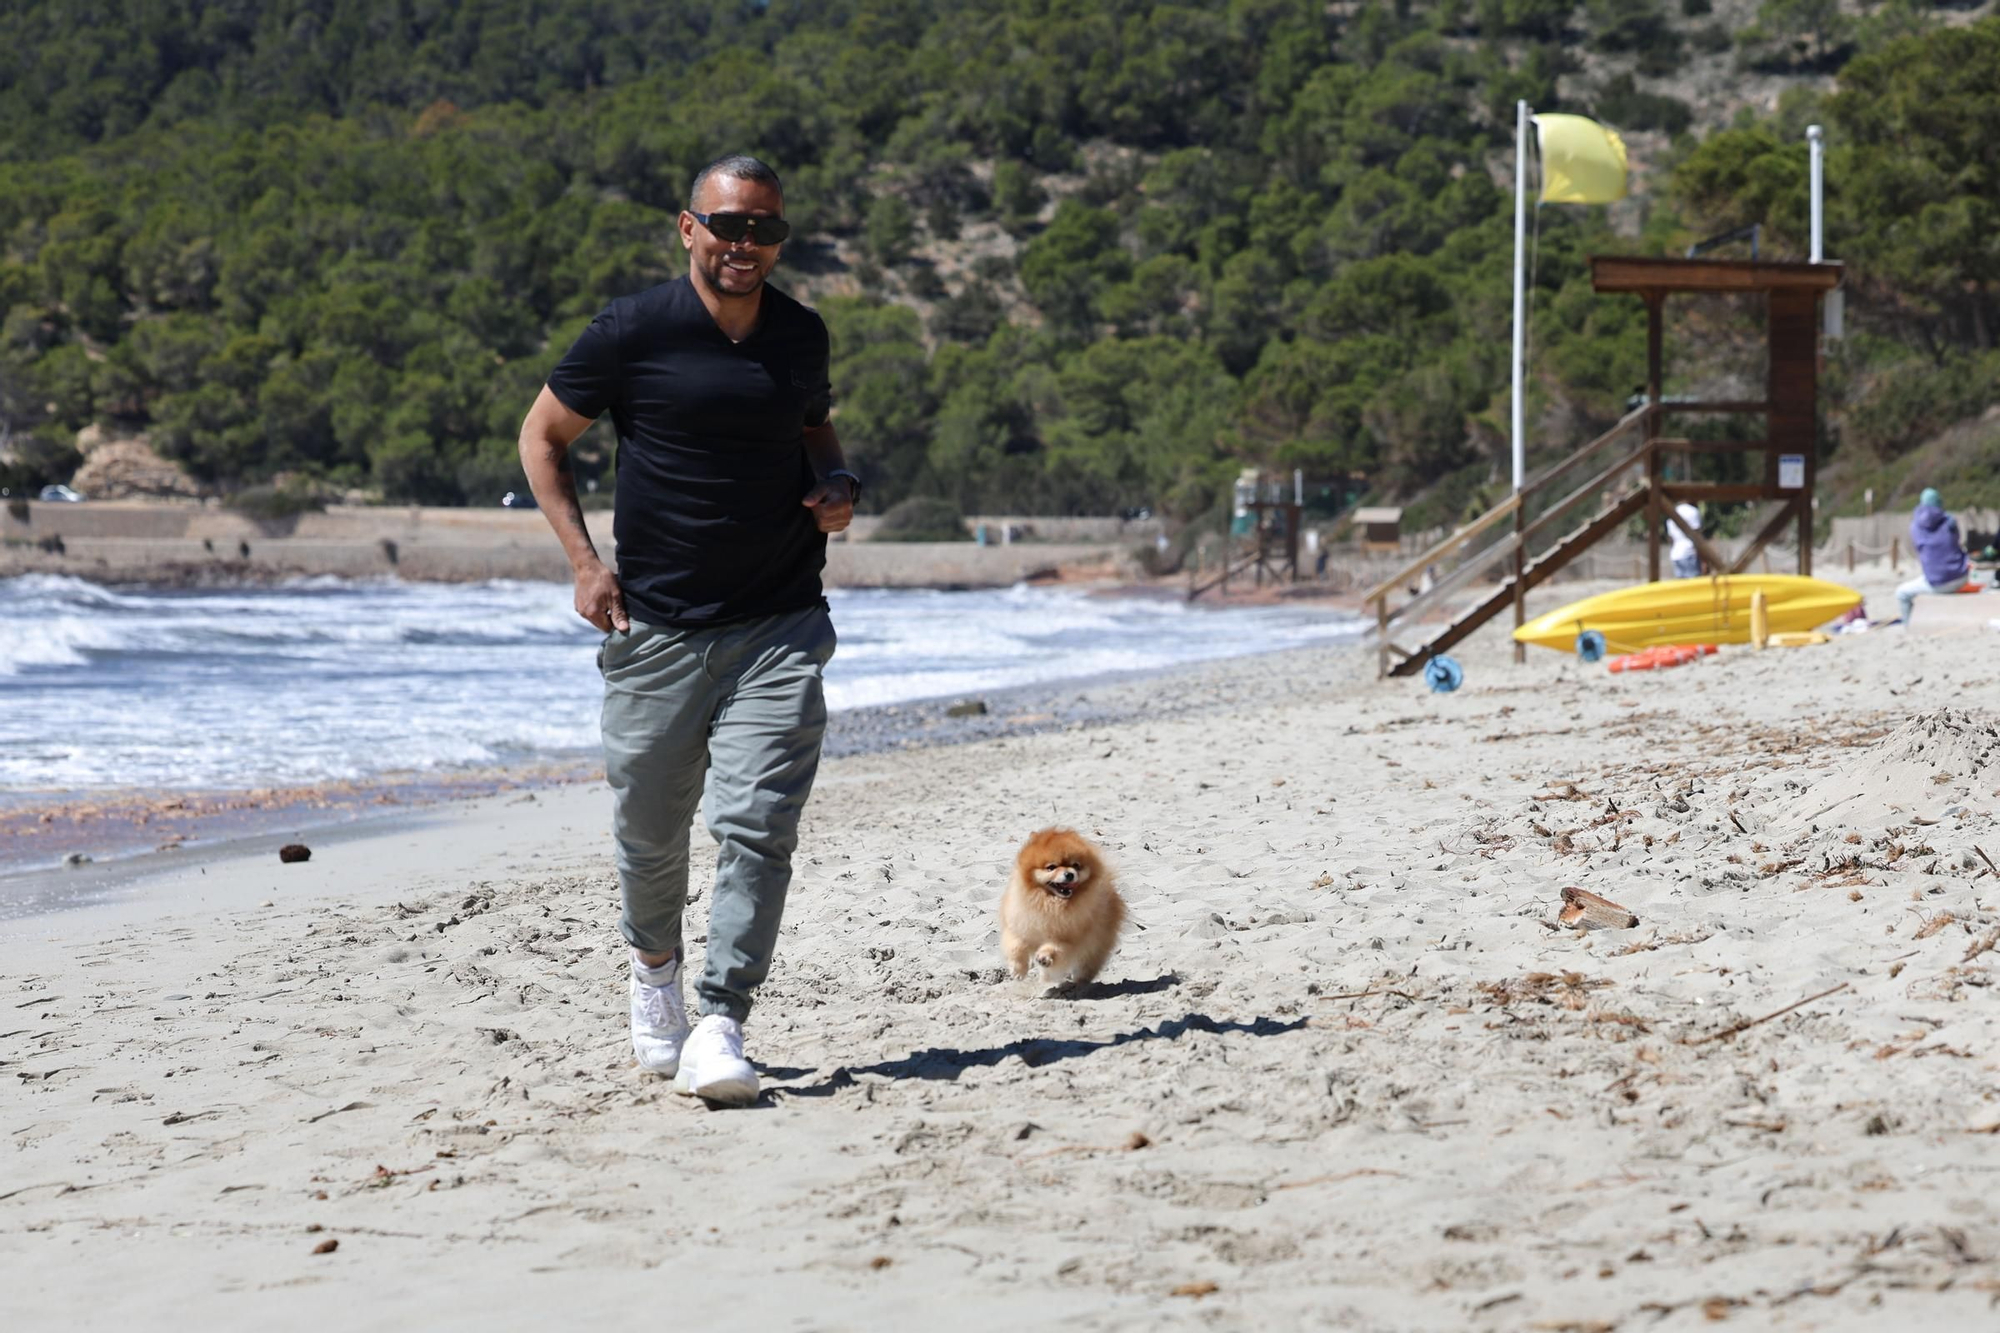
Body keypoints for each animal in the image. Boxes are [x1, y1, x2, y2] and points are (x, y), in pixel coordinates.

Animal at [1000, 824, 1128, 980]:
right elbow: (1016, 947)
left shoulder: (1067, 939)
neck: (1050, 903)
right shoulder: (1018, 927)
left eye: (1076, 866)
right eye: (1051, 867)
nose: (1070, 874)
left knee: (1086, 966)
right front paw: (1018, 971)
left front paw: (1044, 957)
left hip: (1094, 945)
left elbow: (1055, 948)